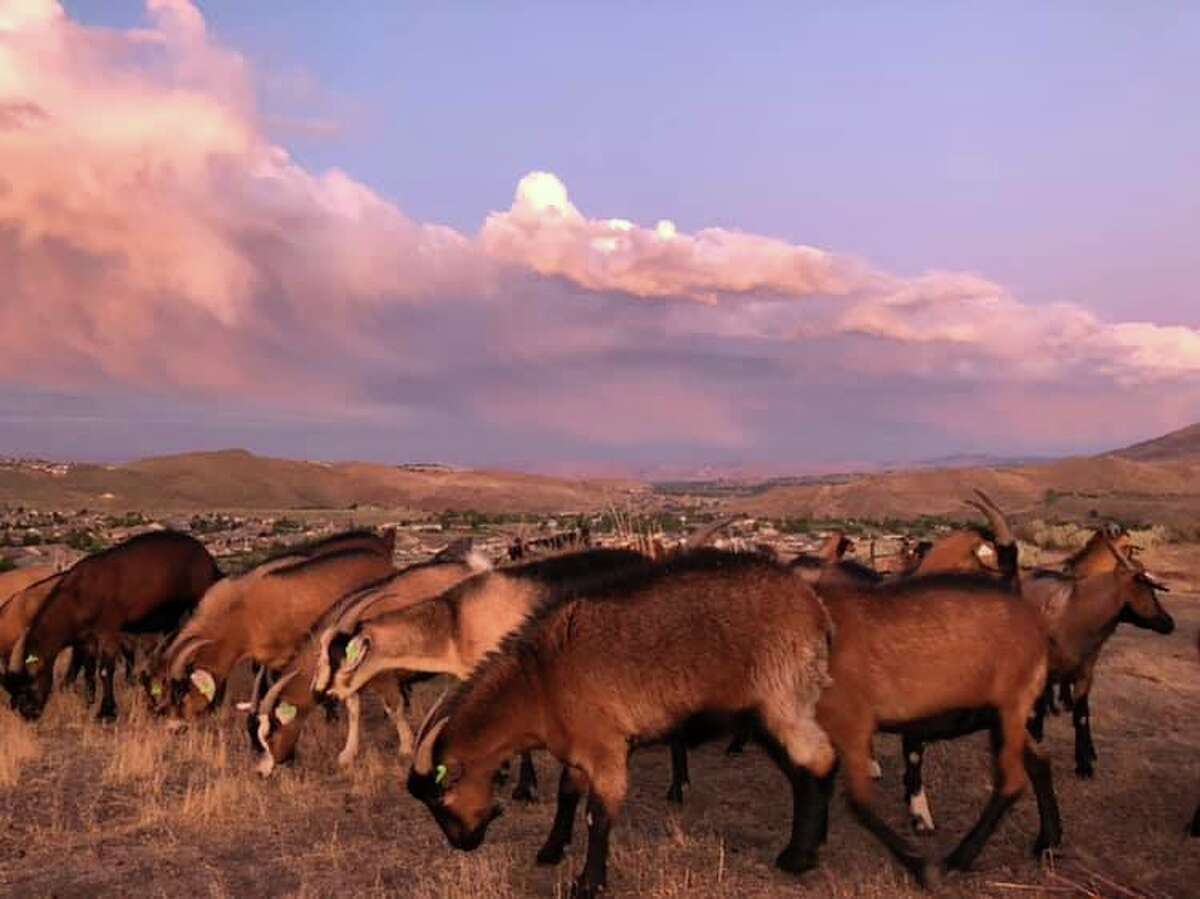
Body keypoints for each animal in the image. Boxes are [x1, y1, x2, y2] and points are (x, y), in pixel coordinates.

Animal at [4, 530, 218, 720]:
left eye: (27, 685)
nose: (28, 714)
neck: (80, 594)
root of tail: (208, 559)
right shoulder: (87, 639)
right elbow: (89, 671)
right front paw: (88, 703)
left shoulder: (109, 632)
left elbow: (105, 671)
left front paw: (106, 712)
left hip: (196, 605)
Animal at [254, 549, 492, 772]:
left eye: (270, 733)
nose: (262, 772)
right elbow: (353, 709)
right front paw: (348, 754)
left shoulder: (384, 677)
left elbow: (393, 708)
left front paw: (406, 747)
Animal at [403, 547, 835, 897]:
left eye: (440, 797)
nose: (463, 843)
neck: (540, 681)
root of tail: (812, 604)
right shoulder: (577, 751)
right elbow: (567, 796)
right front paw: (551, 850)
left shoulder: (606, 750)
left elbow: (597, 816)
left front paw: (588, 883)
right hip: (764, 711)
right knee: (803, 769)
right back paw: (813, 845)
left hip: (783, 693)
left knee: (817, 760)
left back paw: (796, 858)